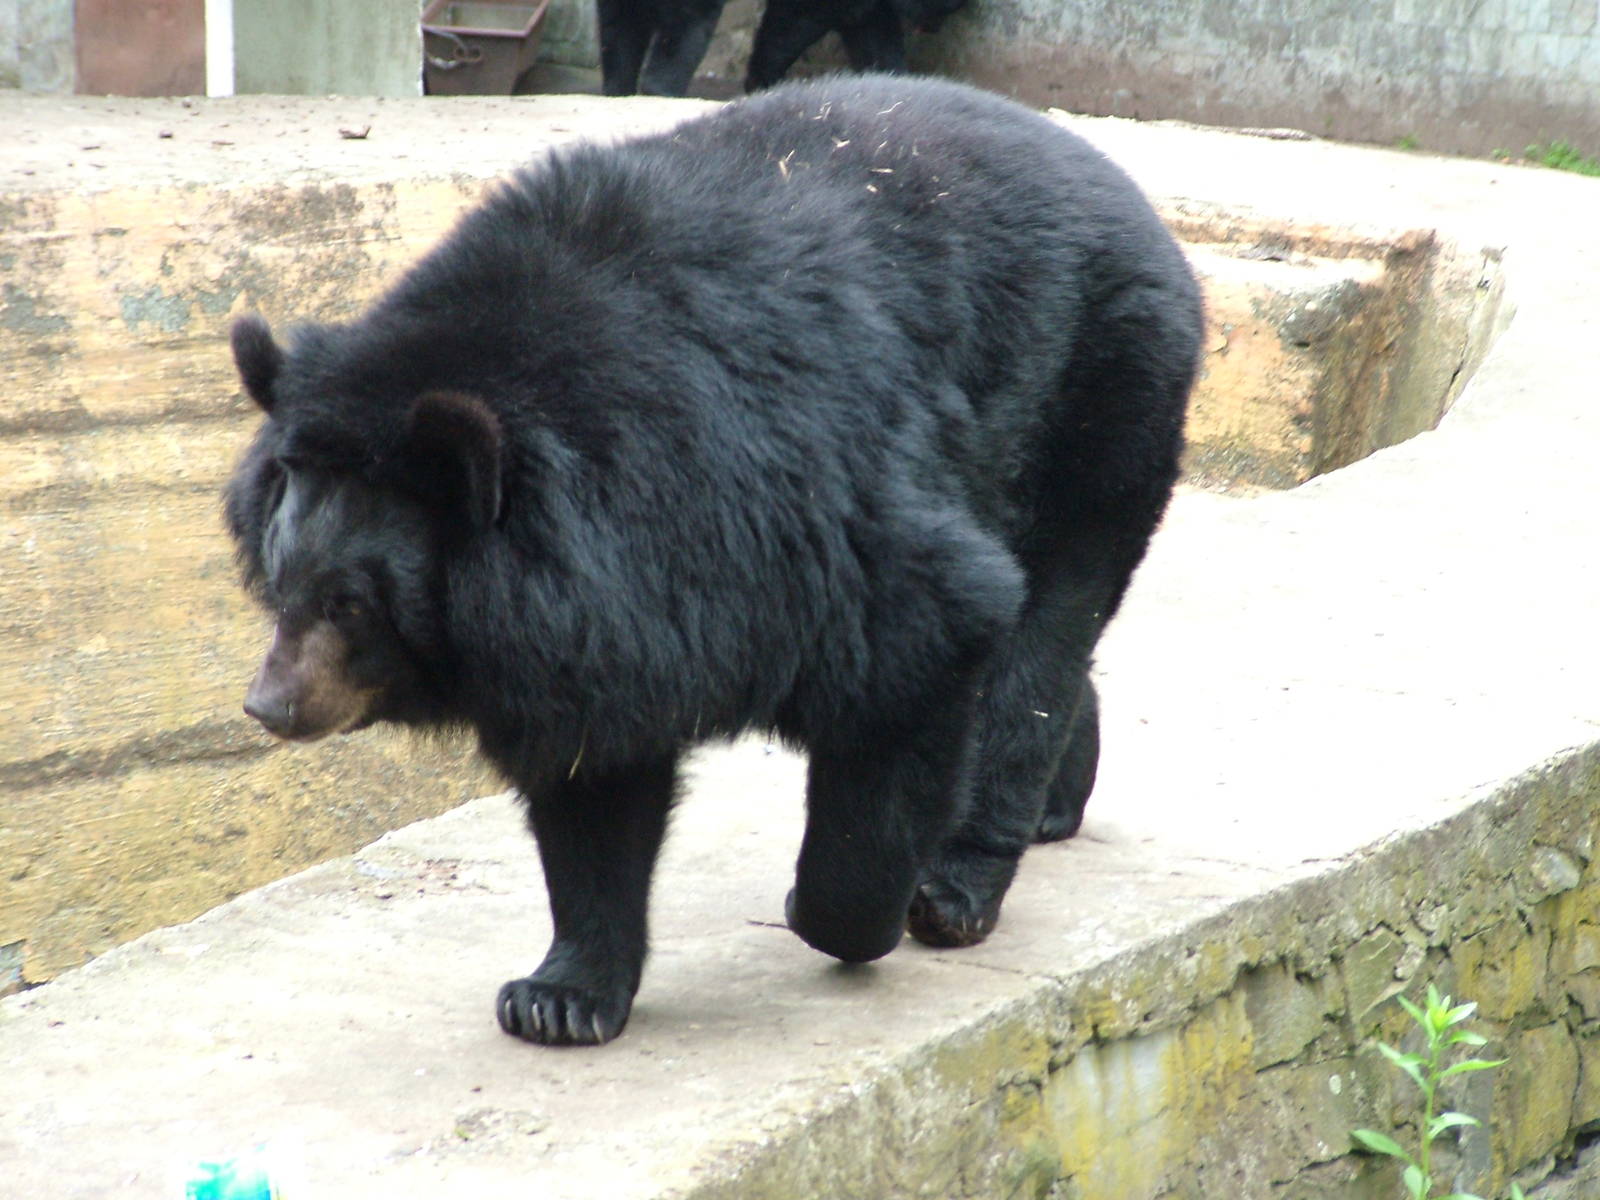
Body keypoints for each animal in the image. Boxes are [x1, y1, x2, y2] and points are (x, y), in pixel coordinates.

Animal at [223, 75, 1203, 1047]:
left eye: (351, 602)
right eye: (280, 580)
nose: (270, 707)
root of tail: (1132, 194)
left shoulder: (789, 501)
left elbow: (931, 637)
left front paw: (839, 912)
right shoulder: (605, 622)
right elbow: (594, 785)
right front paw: (558, 998)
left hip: (1098, 401)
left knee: (1041, 632)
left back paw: (957, 885)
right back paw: (1056, 805)